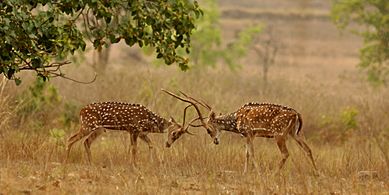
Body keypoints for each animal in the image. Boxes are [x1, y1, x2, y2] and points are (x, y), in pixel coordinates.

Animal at [66, 102, 196, 165]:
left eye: (179, 136)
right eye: (174, 133)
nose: (168, 144)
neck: (150, 121)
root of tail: (81, 111)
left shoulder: (140, 132)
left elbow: (151, 144)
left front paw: (151, 162)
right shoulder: (134, 129)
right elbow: (134, 148)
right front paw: (134, 164)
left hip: (99, 129)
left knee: (86, 142)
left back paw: (91, 163)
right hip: (87, 125)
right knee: (71, 139)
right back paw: (66, 160)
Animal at [162, 90, 316, 172]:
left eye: (208, 130)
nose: (216, 141)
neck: (236, 120)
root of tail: (297, 114)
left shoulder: (249, 133)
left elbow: (251, 153)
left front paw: (258, 173)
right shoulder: (246, 136)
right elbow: (246, 154)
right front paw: (245, 173)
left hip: (279, 134)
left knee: (285, 153)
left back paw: (274, 174)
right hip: (295, 133)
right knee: (308, 149)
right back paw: (316, 173)